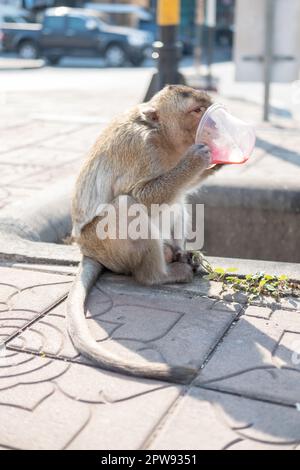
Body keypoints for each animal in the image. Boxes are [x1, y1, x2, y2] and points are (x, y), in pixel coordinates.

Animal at [68, 86, 221, 384]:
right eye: (197, 110)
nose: (216, 125)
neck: (162, 136)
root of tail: (86, 250)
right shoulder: (141, 148)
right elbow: (140, 195)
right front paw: (196, 160)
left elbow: (183, 190)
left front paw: (217, 162)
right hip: (105, 245)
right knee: (128, 205)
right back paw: (159, 275)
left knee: (178, 200)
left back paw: (180, 255)